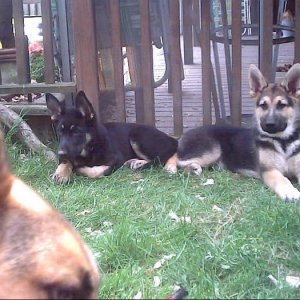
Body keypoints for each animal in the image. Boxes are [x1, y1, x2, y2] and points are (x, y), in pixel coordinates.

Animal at [46, 90, 178, 184]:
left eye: (76, 131)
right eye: (60, 132)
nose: (60, 153)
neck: (91, 148)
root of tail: (169, 137)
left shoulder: (116, 160)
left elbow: (98, 171)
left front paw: (78, 169)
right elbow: (65, 162)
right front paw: (60, 174)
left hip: (138, 136)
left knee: (165, 154)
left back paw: (169, 167)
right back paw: (136, 162)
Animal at [175, 62, 300, 202]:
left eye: (281, 105)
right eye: (263, 105)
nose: (269, 124)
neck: (283, 141)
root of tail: (183, 135)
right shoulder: (269, 170)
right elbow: (282, 179)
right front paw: (289, 191)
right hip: (212, 150)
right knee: (176, 159)